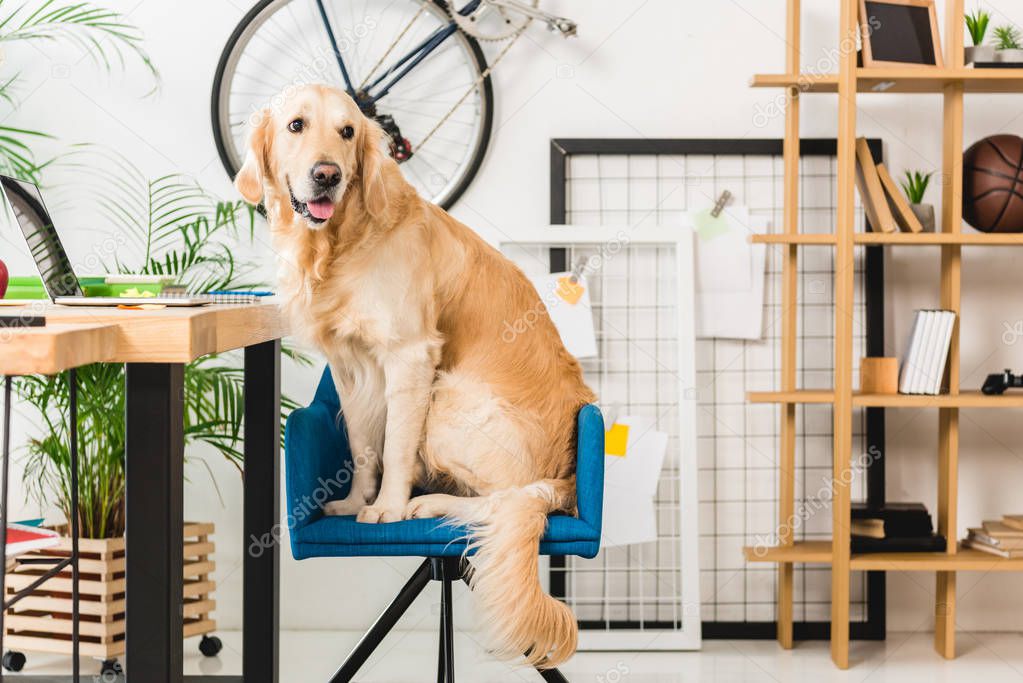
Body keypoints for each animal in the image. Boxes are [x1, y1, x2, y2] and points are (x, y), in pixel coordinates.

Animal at [235, 83, 597, 666]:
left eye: (347, 132)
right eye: (296, 125)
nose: (327, 174)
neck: (339, 244)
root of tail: (567, 476)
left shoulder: (410, 356)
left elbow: (397, 444)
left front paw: (388, 508)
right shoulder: (348, 365)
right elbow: (363, 446)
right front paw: (356, 502)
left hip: (451, 399)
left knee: (506, 497)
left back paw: (428, 503)